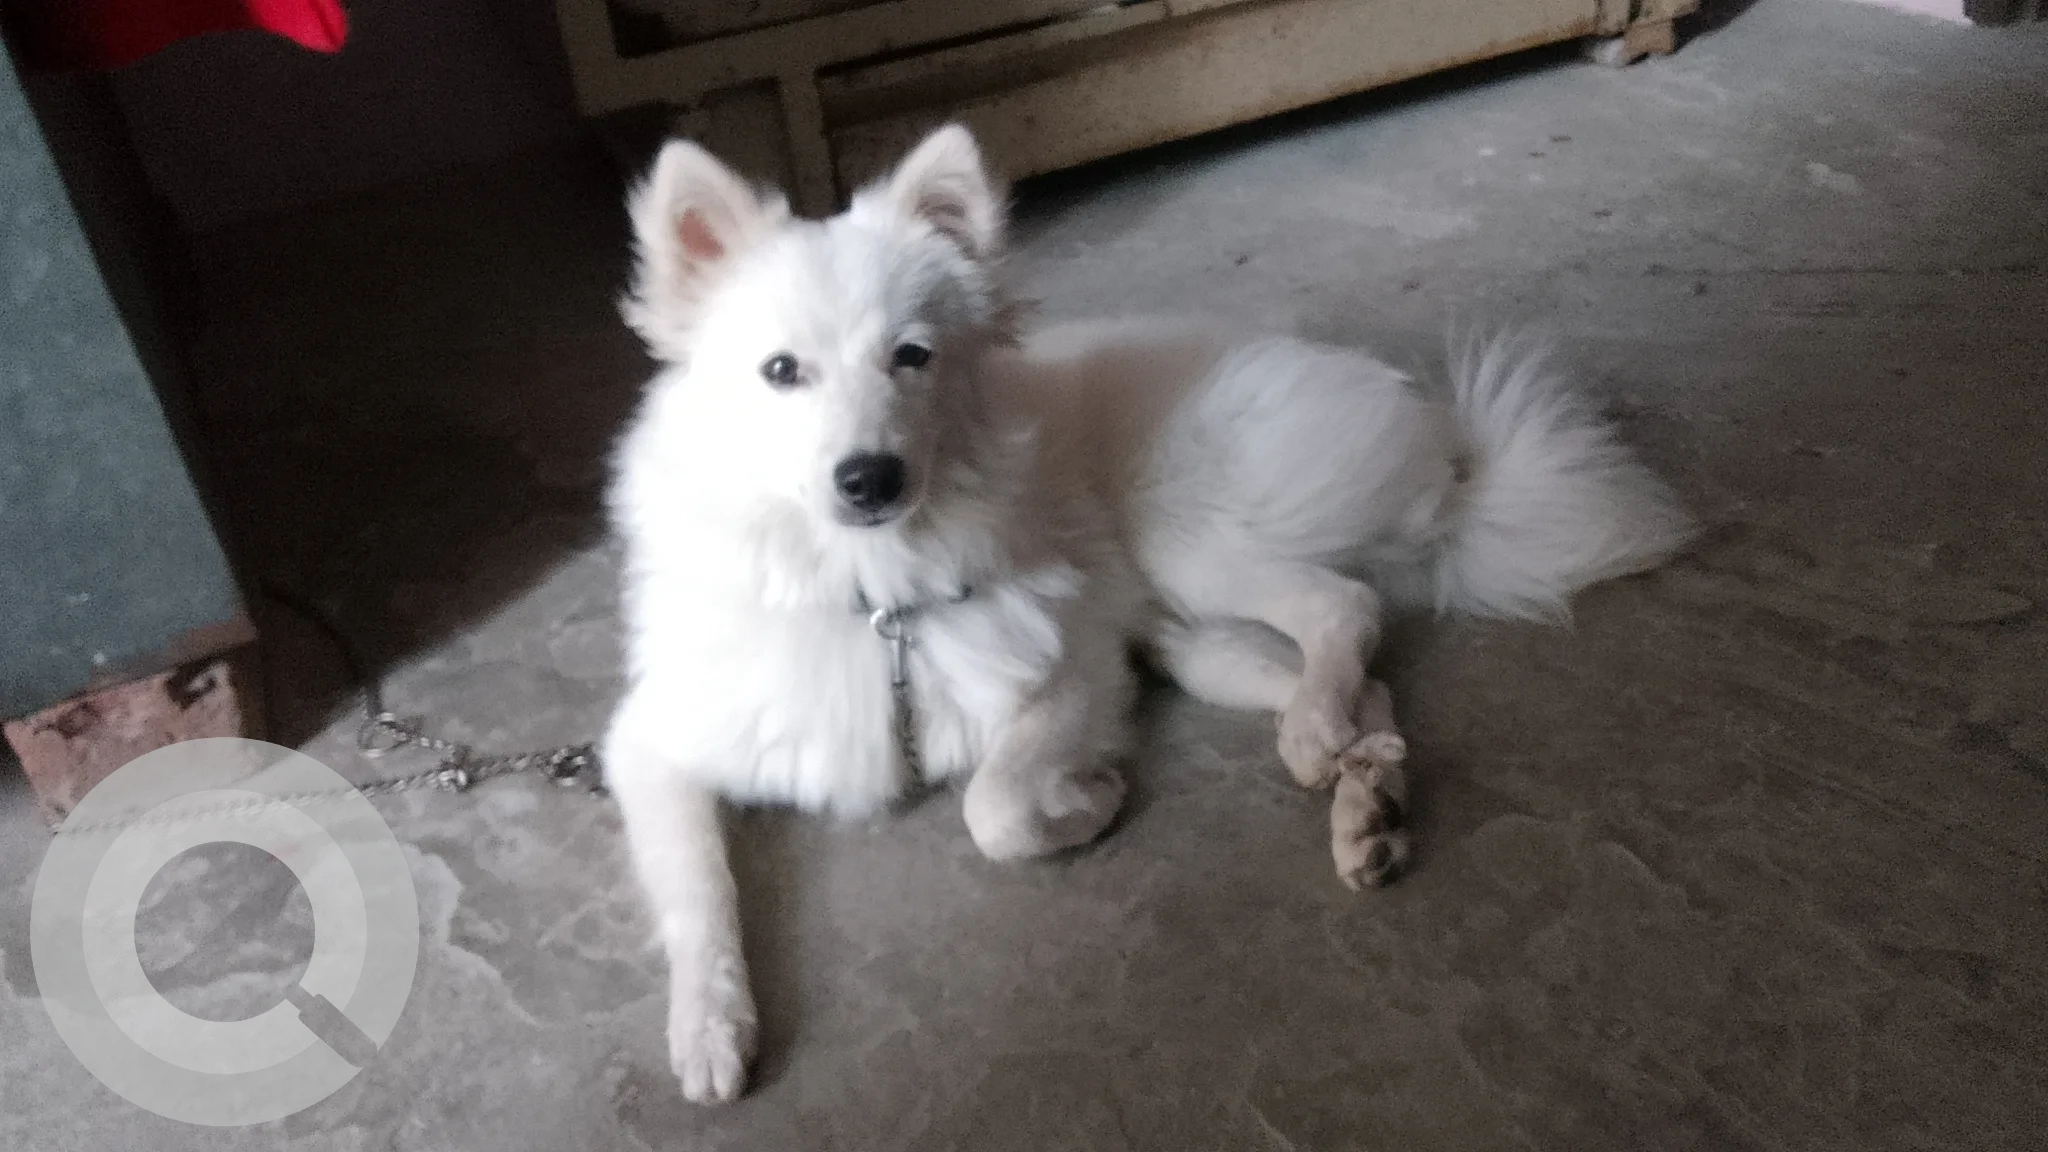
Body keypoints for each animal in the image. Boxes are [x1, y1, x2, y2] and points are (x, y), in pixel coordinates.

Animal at [601, 123, 1692, 1103]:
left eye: (911, 356)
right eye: (781, 371)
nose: (870, 478)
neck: (875, 600)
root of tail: (1439, 452)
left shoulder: (1077, 672)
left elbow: (993, 808)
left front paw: (1086, 802)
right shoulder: (652, 745)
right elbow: (700, 892)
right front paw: (709, 1027)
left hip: (1187, 545)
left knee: (1343, 606)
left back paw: (1320, 743)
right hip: (1190, 639)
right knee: (1370, 687)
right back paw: (1360, 799)